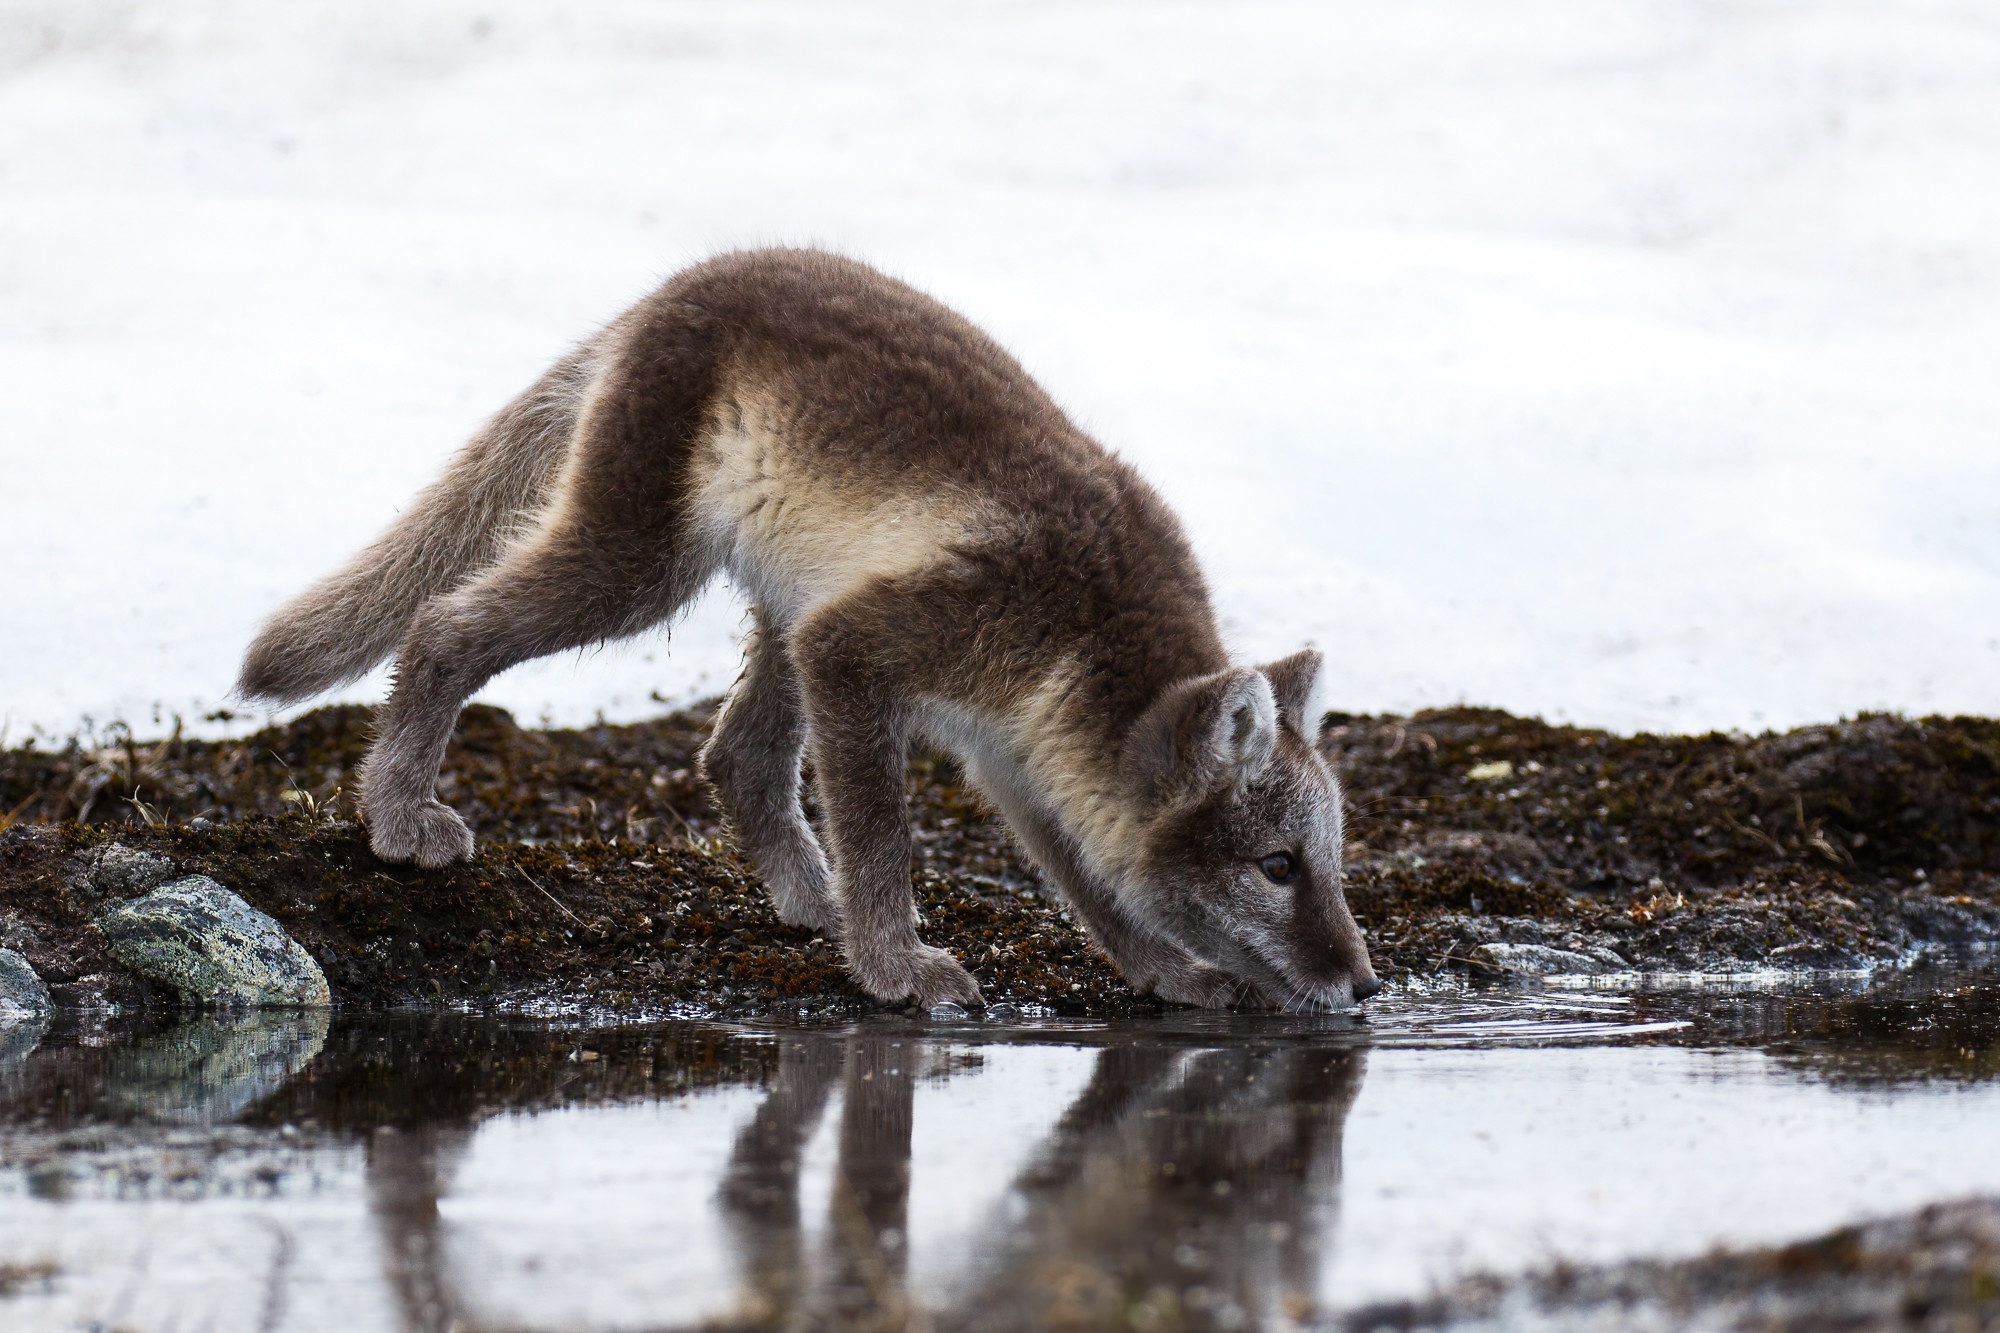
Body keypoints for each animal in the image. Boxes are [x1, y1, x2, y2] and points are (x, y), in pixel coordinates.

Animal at [238, 248, 1379, 1012]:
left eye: (1331, 858)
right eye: (1278, 866)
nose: (1367, 984)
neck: (1084, 636)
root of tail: (656, 296)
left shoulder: (1014, 754)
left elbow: (1095, 885)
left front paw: (1168, 973)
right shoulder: (865, 648)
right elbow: (883, 839)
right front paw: (895, 970)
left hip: (785, 604)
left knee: (735, 755)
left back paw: (808, 902)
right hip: (645, 570)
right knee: (442, 622)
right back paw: (397, 813)